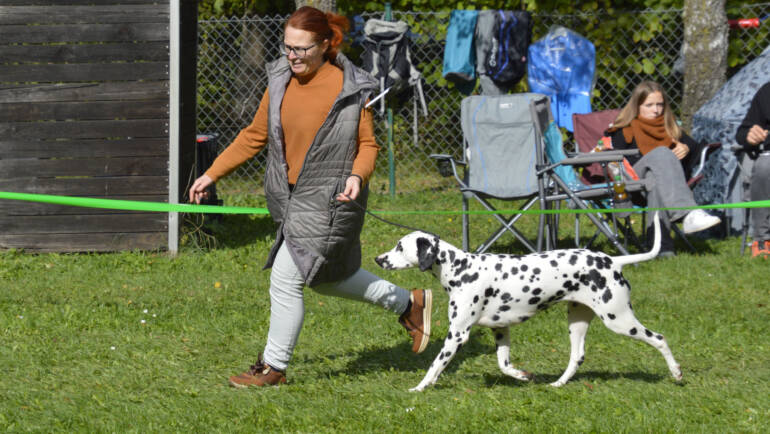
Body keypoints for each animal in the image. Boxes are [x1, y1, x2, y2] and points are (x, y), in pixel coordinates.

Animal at [376, 212, 680, 392]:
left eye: (400, 247)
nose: (378, 259)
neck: (462, 268)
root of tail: (612, 261)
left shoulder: (458, 335)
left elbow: (435, 365)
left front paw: (419, 388)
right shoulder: (500, 330)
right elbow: (504, 365)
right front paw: (523, 376)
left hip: (619, 320)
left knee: (660, 338)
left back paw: (676, 373)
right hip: (577, 322)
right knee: (577, 357)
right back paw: (557, 383)